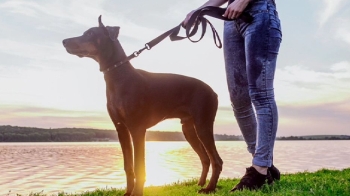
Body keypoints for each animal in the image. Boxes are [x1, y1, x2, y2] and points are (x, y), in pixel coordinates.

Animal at [61, 15, 223, 196]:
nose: (64, 41)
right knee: (205, 158)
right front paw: (128, 193)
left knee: (216, 160)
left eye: (90, 33)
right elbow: (128, 166)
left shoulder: (137, 129)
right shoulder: (121, 129)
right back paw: (200, 184)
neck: (118, 76)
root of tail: (213, 92)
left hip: (203, 125)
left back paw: (209, 188)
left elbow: (139, 166)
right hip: (188, 129)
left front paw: (137, 192)